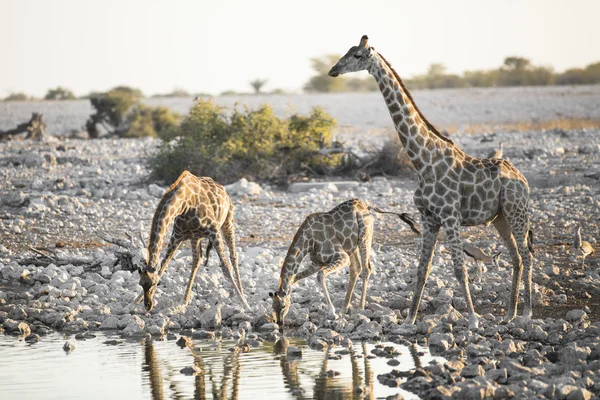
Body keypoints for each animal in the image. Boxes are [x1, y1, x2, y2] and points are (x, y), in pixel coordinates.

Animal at [135, 169, 248, 312]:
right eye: (140, 283)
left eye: (155, 282)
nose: (148, 305)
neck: (184, 203)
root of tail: (223, 188)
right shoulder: (177, 235)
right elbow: (163, 266)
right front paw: (134, 301)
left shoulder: (213, 231)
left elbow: (226, 268)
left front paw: (245, 304)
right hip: (196, 237)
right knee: (197, 259)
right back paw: (185, 300)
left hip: (228, 221)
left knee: (233, 256)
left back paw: (242, 294)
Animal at [270, 198, 420, 326]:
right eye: (273, 306)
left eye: (283, 306)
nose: (279, 323)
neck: (309, 241)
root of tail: (366, 206)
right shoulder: (317, 263)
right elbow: (295, 278)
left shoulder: (341, 257)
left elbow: (320, 276)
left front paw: (332, 313)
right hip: (351, 246)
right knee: (356, 269)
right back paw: (344, 308)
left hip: (364, 238)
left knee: (366, 268)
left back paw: (360, 307)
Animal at [328, 35, 536, 328]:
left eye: (357, 55)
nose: (333, 70)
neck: (422, 161)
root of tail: (521, 177)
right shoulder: (428, 218)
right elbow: (421, 270)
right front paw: (409, 320)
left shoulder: (450, 216)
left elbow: (459, 269)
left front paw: (473, 320)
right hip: (500, 218)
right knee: (516, 257)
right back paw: (509, 314)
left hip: (517, 210)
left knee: (527, 255)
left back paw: (526, 313)